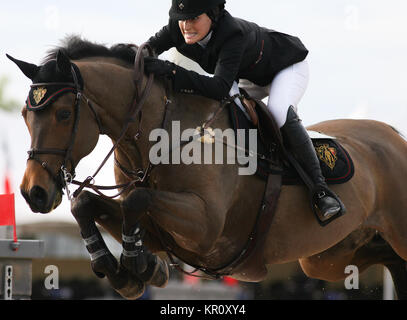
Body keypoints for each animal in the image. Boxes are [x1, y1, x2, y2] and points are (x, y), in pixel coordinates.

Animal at [7, 37, 407, 300]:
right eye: (25, 114)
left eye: (63, 114)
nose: (33, 193)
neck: (159, 136)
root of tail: (393, 134)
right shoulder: (165, 232)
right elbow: (86, 203)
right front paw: (129, 270)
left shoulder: (205, 227)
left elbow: (137, 199)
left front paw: (138, 264)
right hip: (325, 259)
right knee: (382, 258)